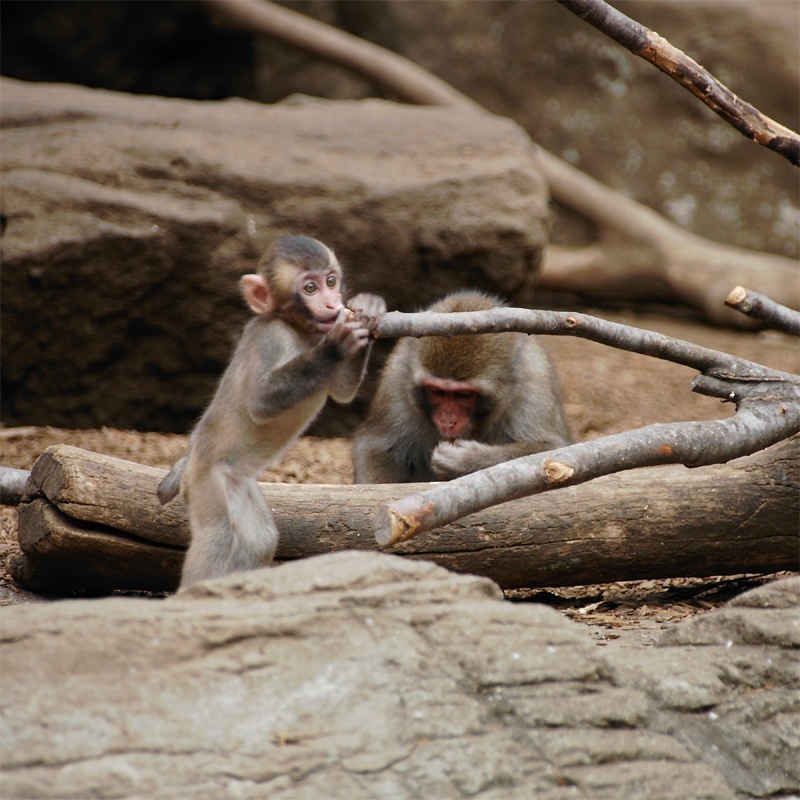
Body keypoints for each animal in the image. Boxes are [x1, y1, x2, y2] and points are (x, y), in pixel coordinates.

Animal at [159, 233, 384, 588]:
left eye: (331, 281)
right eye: (310, 288)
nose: (332, 304)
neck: (300, 331)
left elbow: (342, 392)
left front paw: (368, 307)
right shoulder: (270, 338)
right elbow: (261, 402)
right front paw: (337, 344)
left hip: (239, 489)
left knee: (260, 540)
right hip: (206, 481)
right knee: (218, 536)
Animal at [354, 292, 572, 484]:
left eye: (464, 394)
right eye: (436, 392)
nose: (447, 421)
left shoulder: (533, 382)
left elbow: (551, 451)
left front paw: (466, 460)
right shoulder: (397, 377)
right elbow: (376, 447)